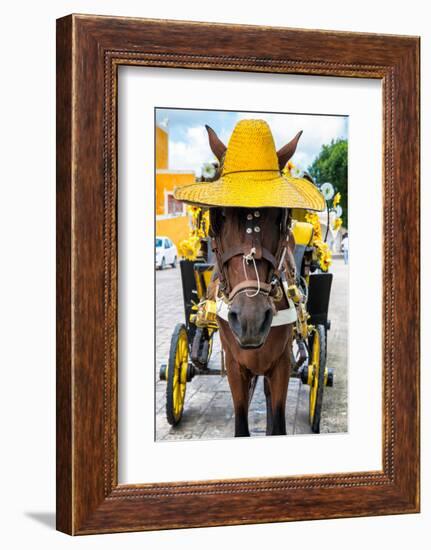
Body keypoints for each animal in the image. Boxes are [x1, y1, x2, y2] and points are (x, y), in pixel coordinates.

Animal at [205, 127, 300, 438]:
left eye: (280, 214)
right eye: (218, 215)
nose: (250, 319)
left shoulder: (282, 364)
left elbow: (278, 423)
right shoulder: (235, 366)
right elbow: (241, 425)